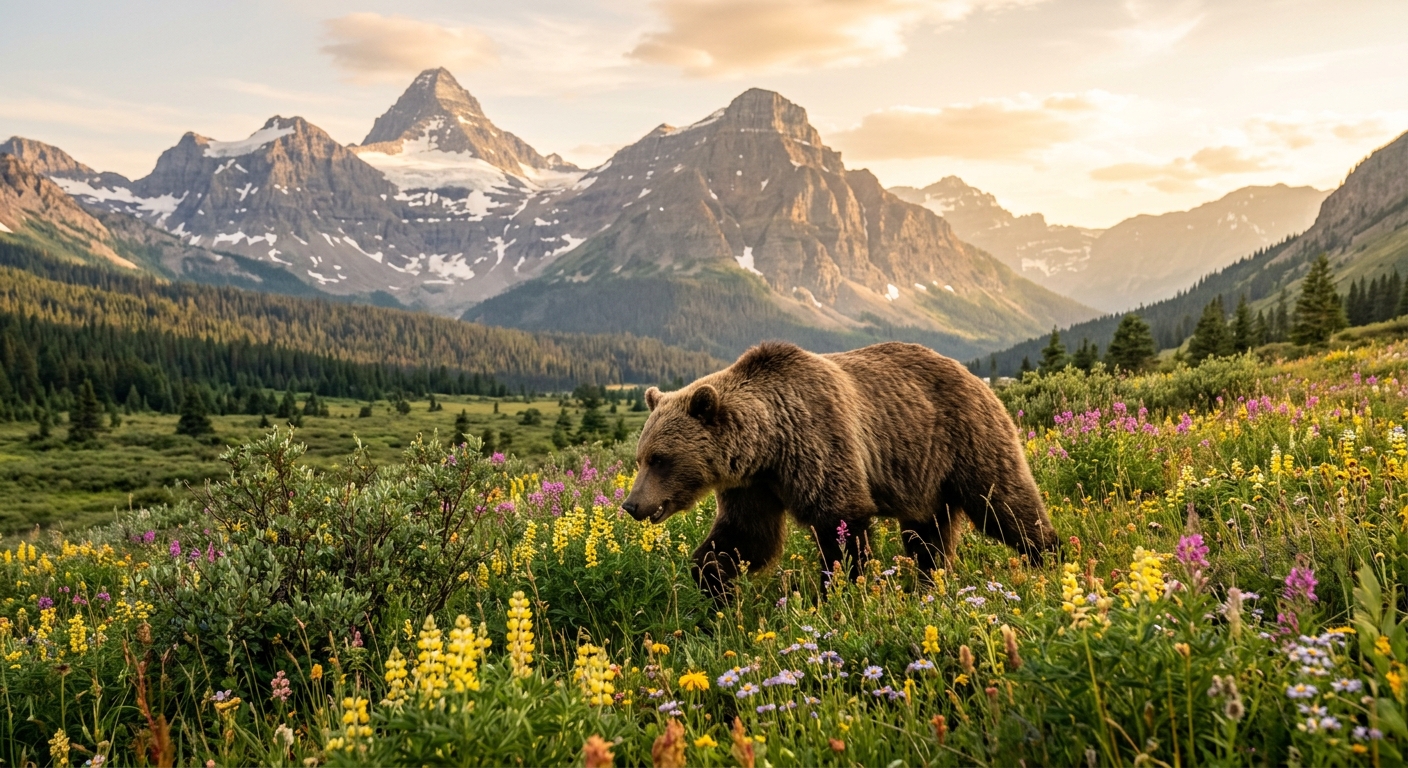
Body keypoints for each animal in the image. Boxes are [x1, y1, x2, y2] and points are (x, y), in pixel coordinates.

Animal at [621, 340, 1058, 600]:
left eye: (660, 458)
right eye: (640, 458)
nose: (631, 504)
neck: (769, 444)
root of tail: (976, 377)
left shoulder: (819, 443)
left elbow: (840, 525)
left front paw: (840, 591)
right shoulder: (755, 485)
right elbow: (746, 536)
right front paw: (713, 584)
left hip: (965, 439)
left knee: (1003, 503)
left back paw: (1048, 556)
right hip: (924, 476)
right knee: (928, 535)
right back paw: (929, 583)